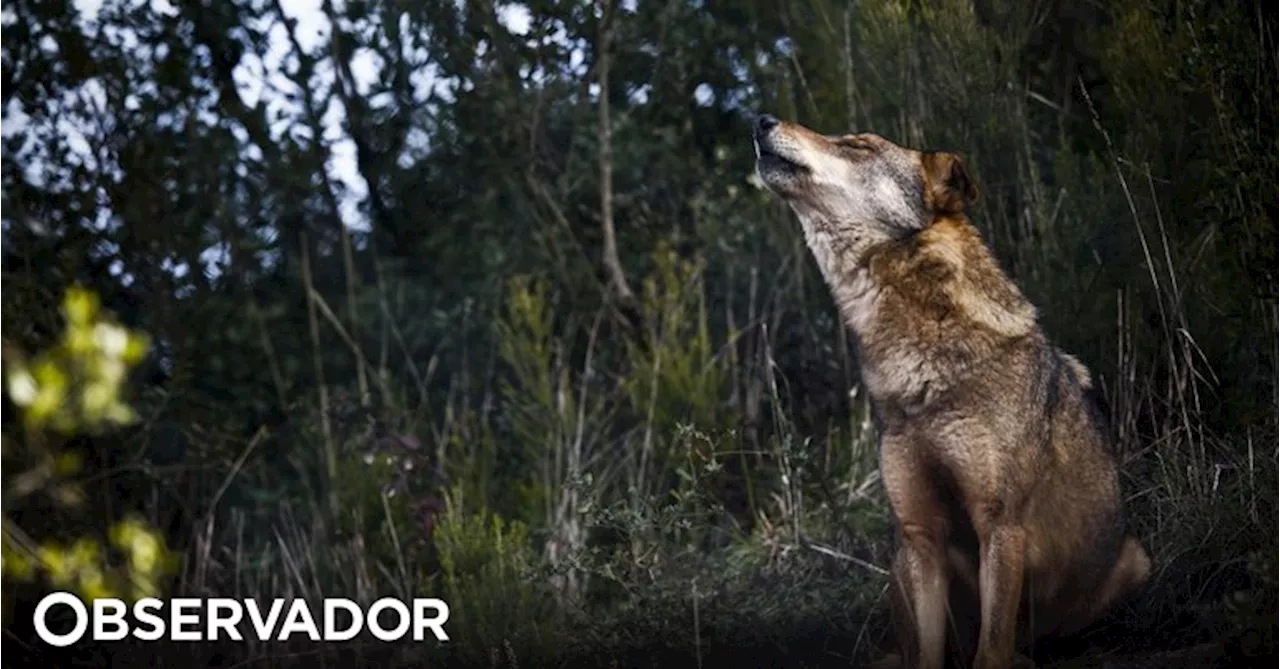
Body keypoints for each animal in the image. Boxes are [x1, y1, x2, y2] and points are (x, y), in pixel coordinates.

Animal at [747, 112, 1152, 665]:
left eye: (857, 145)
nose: (761, 118)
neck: (917, 371)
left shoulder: (1000, 526)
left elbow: (990, 652)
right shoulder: (922, 539)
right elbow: (927, 655)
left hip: (1135, 562)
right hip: (900, 562)